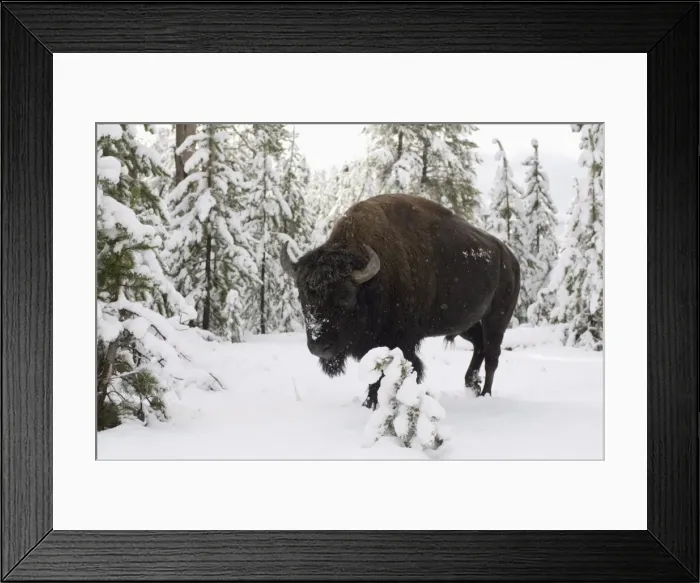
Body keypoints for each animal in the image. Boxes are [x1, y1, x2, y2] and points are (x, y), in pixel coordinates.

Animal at [280, 193, 520, 409]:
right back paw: (471, 384)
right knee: (479, 345)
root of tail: (510, 258)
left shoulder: (400, 340)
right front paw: (369, 404)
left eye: (346, 297)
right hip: (466, 323)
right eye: (302, 296)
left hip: (497, 319)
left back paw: (485, 394)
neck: (372, 283)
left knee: (492, 355)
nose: (320, 346)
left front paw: (374, 404)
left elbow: (393, 371)